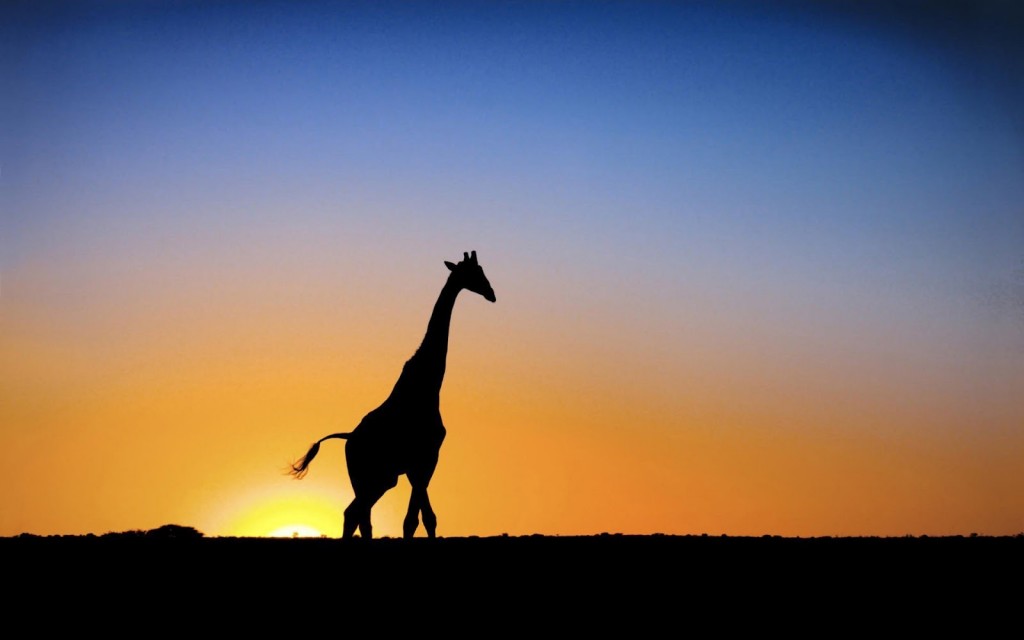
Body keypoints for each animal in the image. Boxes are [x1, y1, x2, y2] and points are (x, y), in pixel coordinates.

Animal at [289, 250, 496, 539]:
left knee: (357, 515)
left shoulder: (417, 464)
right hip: (373, 477)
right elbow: (415, 519)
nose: (491, 293)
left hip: (376, 479)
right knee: (355, 513)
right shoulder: (425, 458)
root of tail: (349, 438)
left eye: (481, 270)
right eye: (474, 272)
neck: (427, 386)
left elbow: (424, 518)